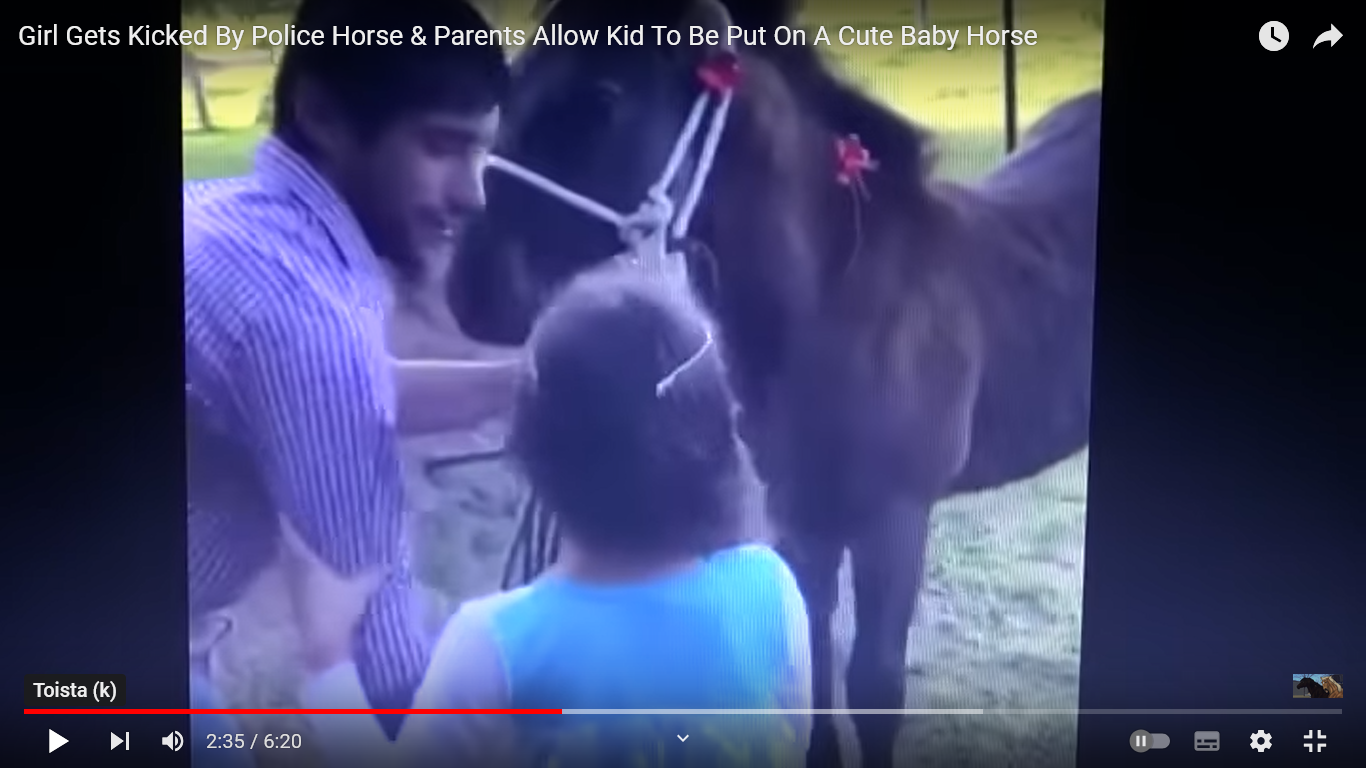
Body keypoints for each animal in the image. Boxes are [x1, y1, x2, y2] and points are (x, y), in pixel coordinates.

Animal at [449, 1, 1100, 765]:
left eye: (604, 98)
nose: (470, 289)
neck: (840, 302)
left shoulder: (894, 522)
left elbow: (873, 685)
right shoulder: (800, 513)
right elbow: (811, 655)